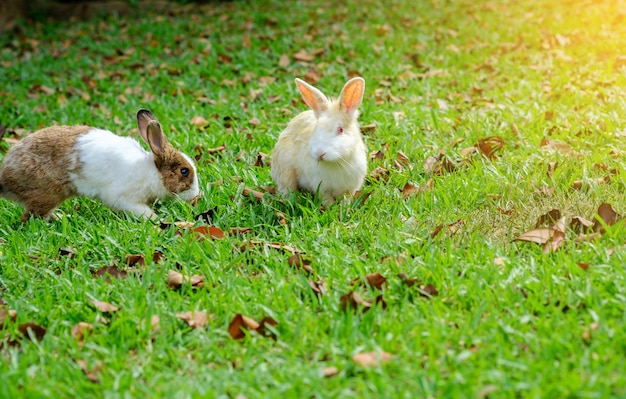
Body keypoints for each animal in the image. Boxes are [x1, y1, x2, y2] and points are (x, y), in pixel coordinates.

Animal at [0, 109, 199, 222]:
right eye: (184, 171)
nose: (196, 195)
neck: (152, 173)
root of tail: (5, 178)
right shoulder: (125, 199)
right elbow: (142, 211)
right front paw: (157, 220)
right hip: (47, 194)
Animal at [270, 76, 366, 205]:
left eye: (340, 130)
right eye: (316, 128)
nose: (320, 153)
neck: (337, 162)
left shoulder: (350, 188)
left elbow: (346, 199)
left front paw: (344, 207)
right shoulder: (320, 187)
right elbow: (326, 199)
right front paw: (332, 207)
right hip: (285, 172)